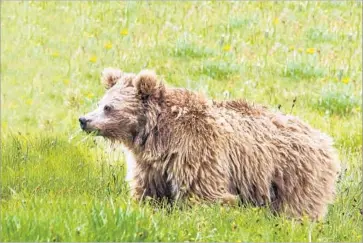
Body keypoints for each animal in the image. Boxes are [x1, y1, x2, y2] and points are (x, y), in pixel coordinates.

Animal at [79, 67, 342, 219]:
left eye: (108, 107)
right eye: (100, 102)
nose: (83, 120)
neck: (157, 134)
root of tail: (324, 139)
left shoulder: (195, 149)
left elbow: (203, 192)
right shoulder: (150, 163)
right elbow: (149, 191)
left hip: (296, 173)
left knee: (299, 207)